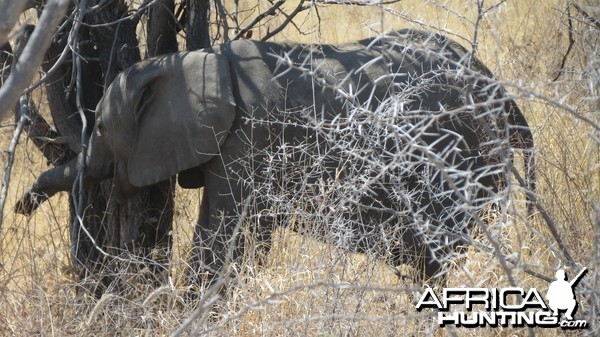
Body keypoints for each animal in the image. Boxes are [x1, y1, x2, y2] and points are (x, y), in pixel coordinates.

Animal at [16, 29, 536, 284]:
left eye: (102, 129)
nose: (21, 204)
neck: (196, 61)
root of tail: (503, 95)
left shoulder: (249, 140)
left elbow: (223, 241)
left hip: (464, 160)